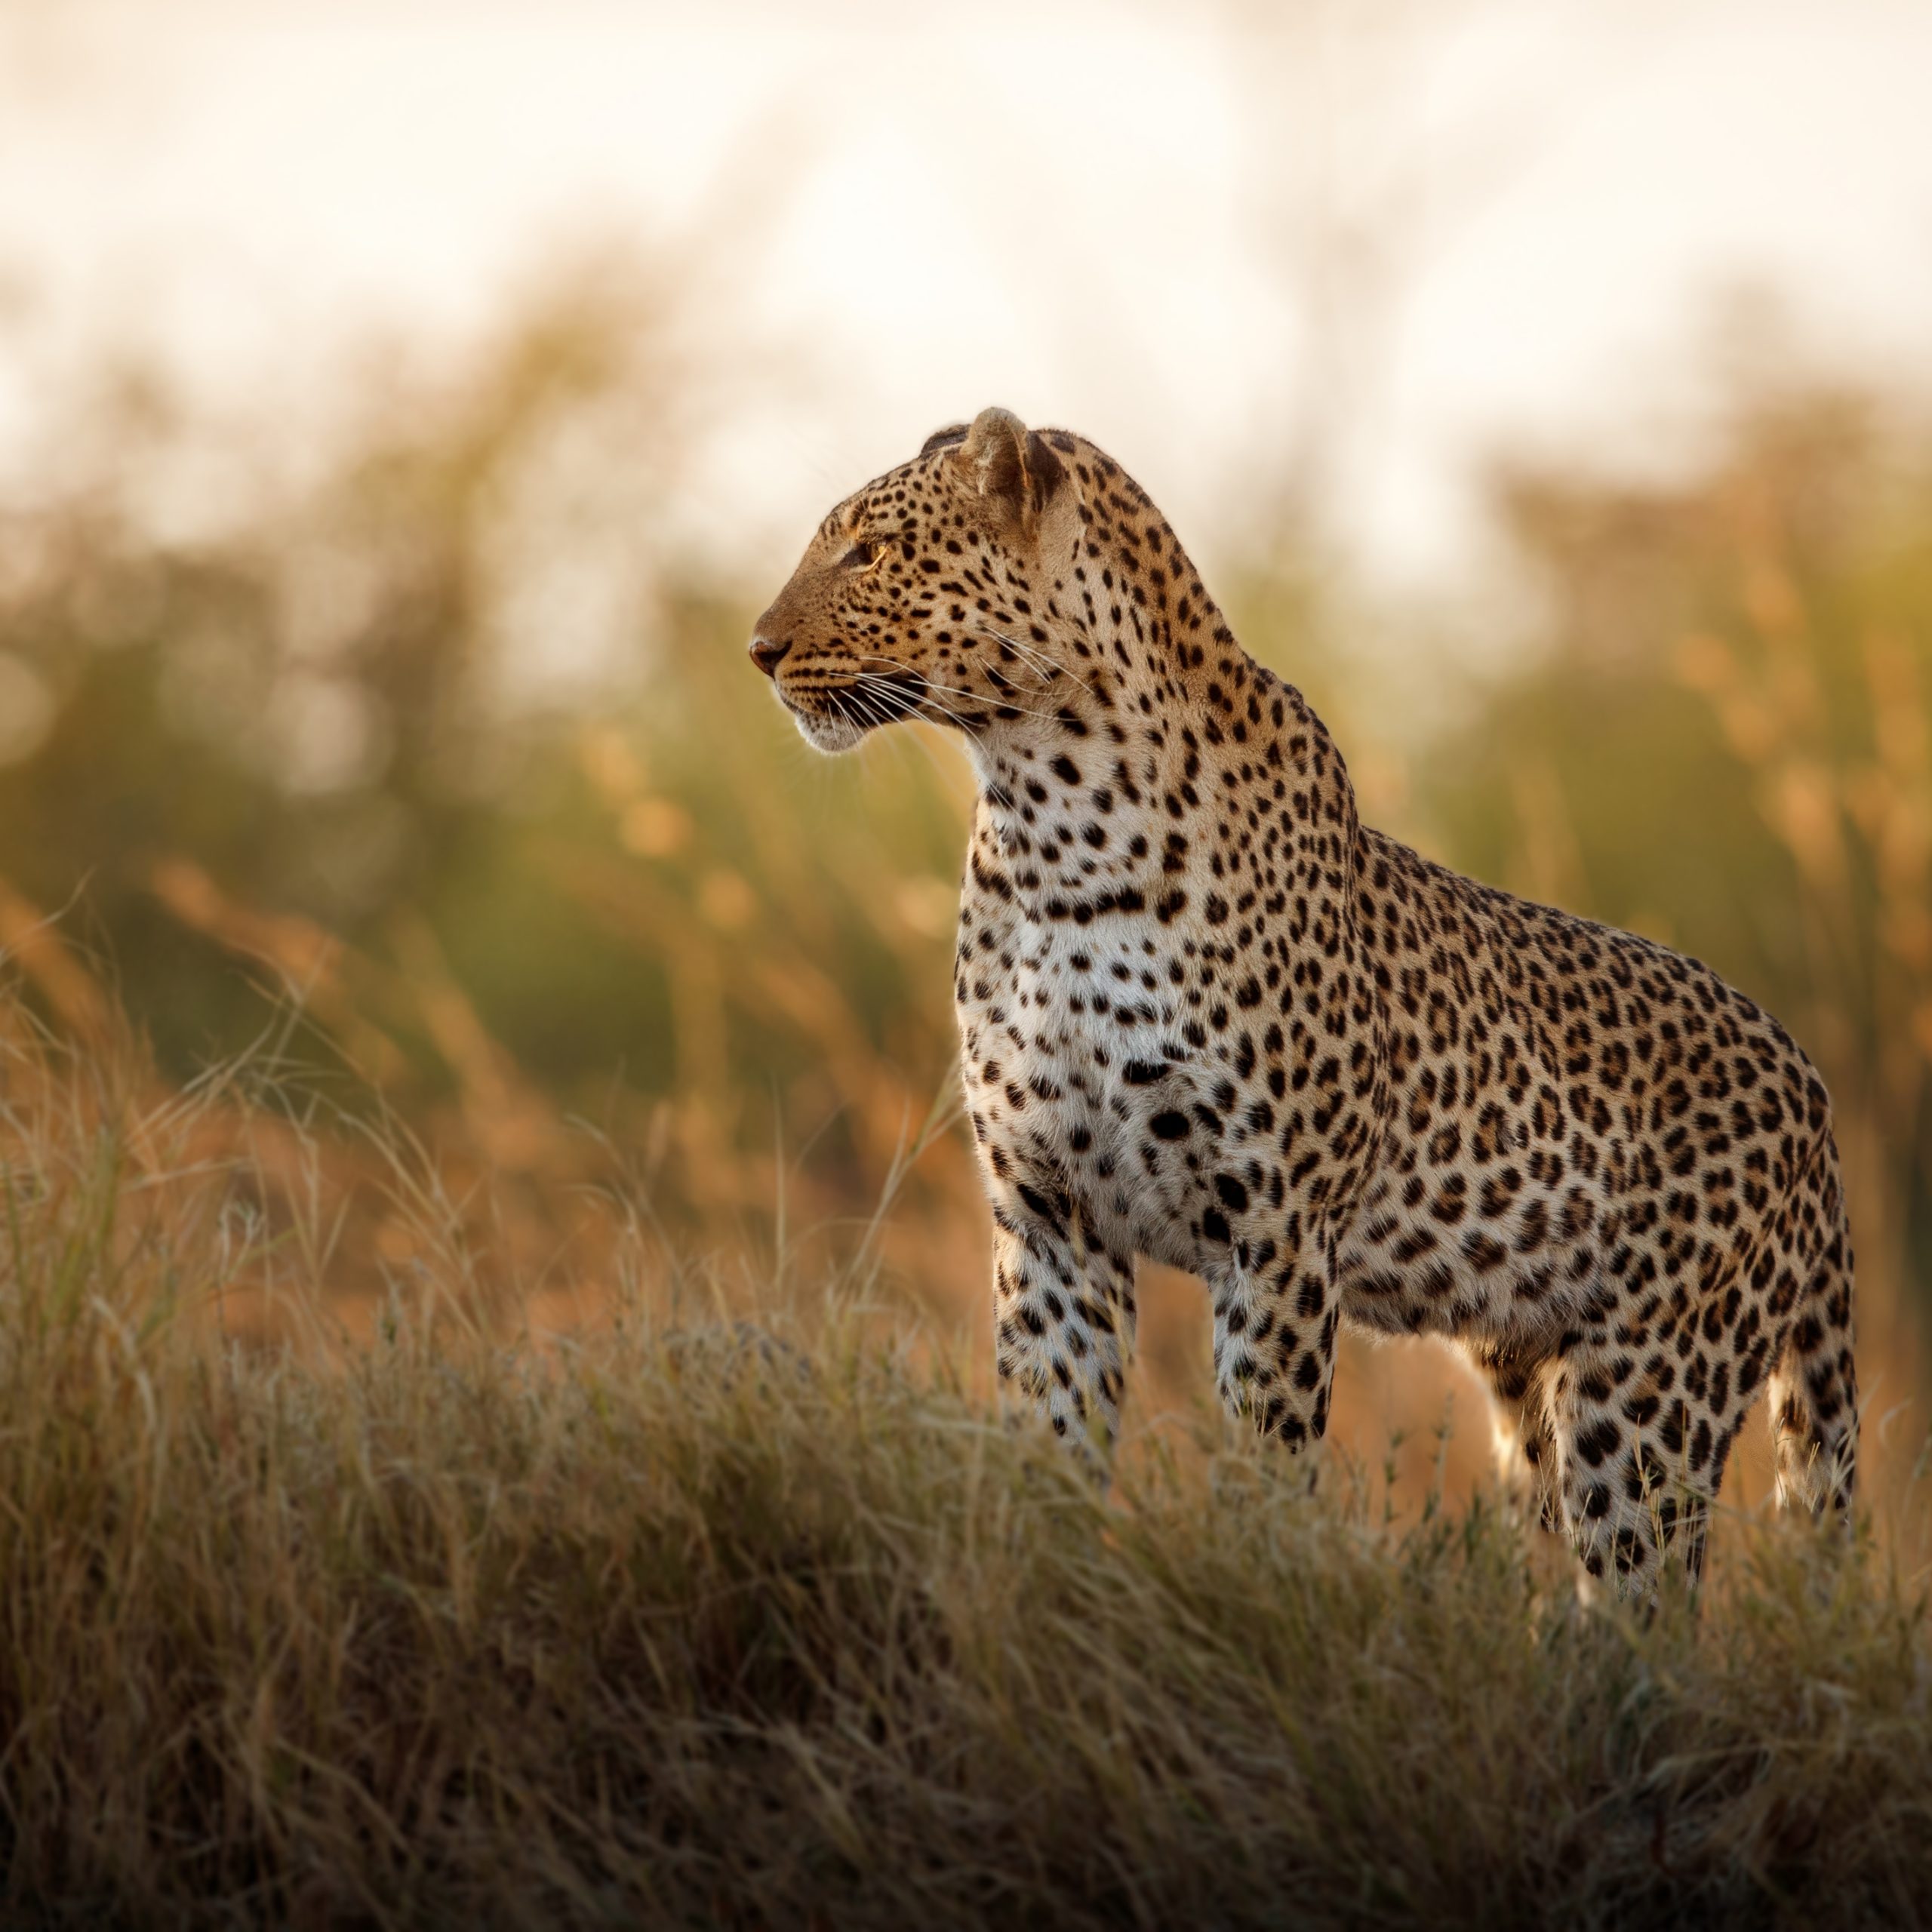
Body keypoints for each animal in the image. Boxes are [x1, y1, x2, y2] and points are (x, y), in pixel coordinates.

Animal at [749, 399, 1854, 1592]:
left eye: (867, 552)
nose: (758, 650)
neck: (1050, 822)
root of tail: (1811, 1088)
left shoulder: (1273, 1229)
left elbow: (1264, 1463)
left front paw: (1247, 1588)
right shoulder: (1049, 1216)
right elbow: (1048, 1451)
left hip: (1651, 1388)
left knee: (1646, 1593)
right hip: (1530, 1378)